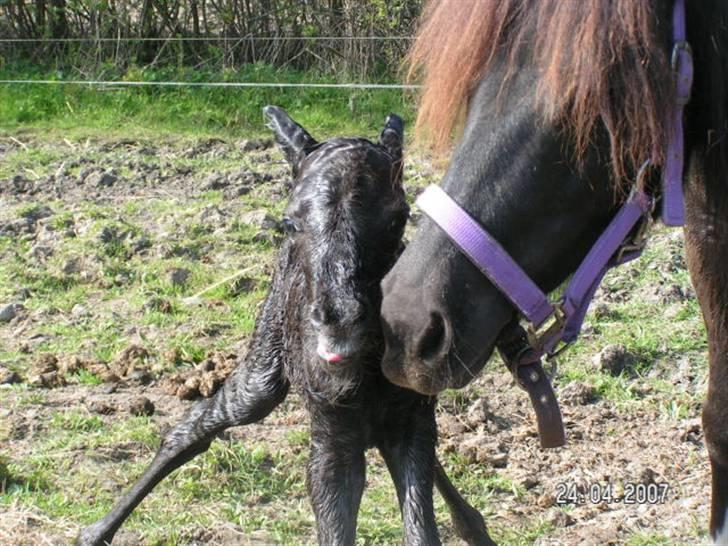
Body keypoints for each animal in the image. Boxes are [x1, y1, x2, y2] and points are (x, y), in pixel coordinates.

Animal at [77, 107, 494, 544]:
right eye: (289, 222)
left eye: (399, 219)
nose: (339, 321)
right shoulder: (331, 438)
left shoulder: (412, 415)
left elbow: (420, 521)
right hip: (263, 366)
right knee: (198, 424)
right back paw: (96, 531)